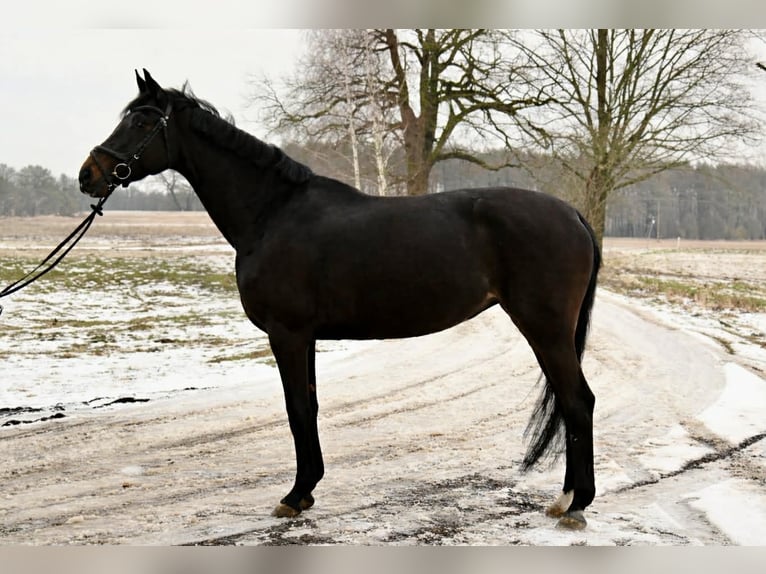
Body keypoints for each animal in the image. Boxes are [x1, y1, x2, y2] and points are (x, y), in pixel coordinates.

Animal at [78, 70, 601, 530]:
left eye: (142, 122)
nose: (89, 175)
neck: (272, 213)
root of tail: (573, 214)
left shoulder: (288, 334)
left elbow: (297, 409)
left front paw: (295, 495)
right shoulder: (304, 336)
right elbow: (307, 406)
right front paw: (307, 491)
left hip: (544, 327)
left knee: (578, 401)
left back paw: (576, 505)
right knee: (570, 402)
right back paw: (566, 498)